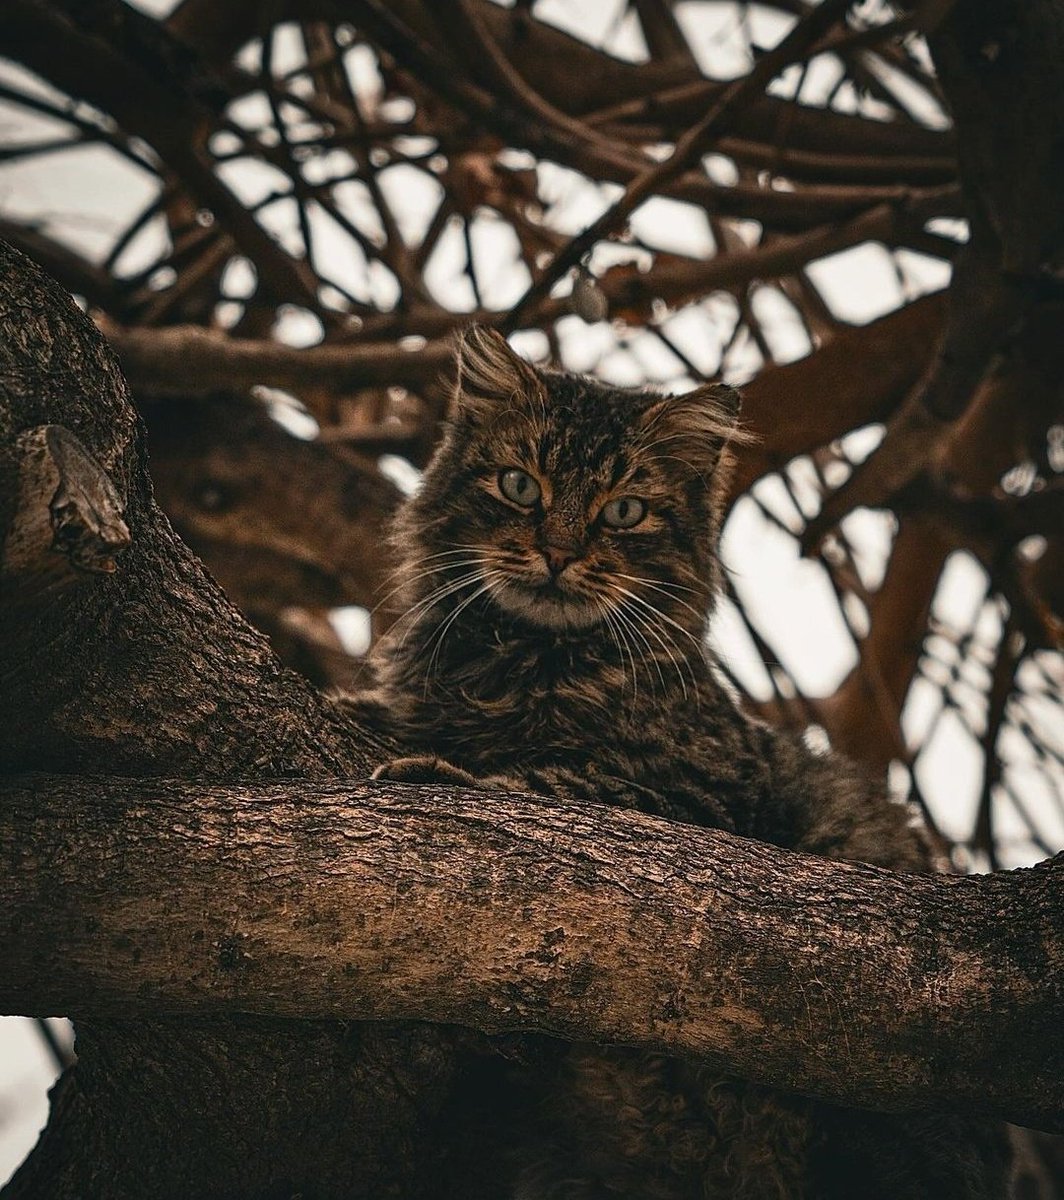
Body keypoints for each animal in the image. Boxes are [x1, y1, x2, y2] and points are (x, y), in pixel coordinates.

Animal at [345, 326, 1012, 1200]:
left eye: (624, 511)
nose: (557, 555)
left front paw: (443, 773)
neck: (522, 659)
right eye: (520, 486)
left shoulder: (704, 800)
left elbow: (563, 787)